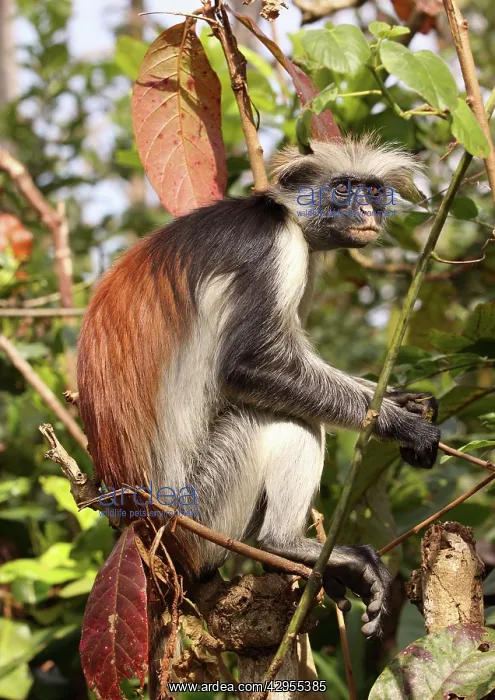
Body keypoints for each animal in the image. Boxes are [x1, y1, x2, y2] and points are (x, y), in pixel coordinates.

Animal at [77, 134, 440, 638]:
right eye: (342, 190)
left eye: (372, 191)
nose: (366, 212)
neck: (282, 214)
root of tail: (144, 529)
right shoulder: (273, 248)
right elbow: (248, 369)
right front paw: (405, 426)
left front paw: (404, 400)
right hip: (200, 517)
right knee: (279, 416)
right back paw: (285, 545)